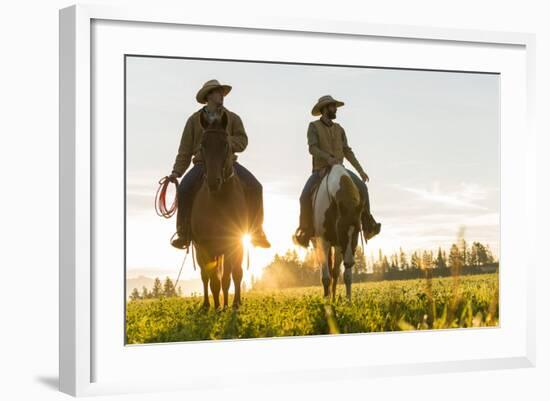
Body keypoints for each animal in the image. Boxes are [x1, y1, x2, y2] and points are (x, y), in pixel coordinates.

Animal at [191, 112, 249, 310]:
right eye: (202, 145)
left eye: (225, 144)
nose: (213, 182)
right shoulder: (207, 246)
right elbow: (214, 279)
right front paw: (217, 307)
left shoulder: (235, 242)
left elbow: (234, 275)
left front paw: (235, 304)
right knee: (205, 277)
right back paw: (208, 304)